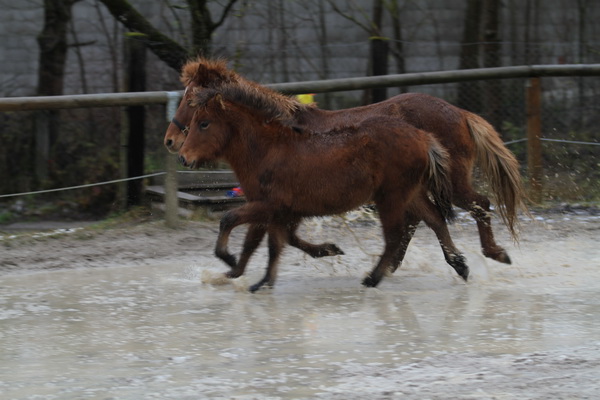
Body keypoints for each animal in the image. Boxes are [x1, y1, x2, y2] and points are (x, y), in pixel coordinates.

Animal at [166, 57, 528, 268]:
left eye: (190, 100)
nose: (172, 143)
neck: (279, 131)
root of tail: (461, 113)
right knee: (422, 220)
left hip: (450, 183)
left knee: (480, 204)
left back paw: (494, 253)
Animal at [178, 88, 468, 290]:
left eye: (204, 123)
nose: (183, 157)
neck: (268, 150)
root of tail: (423, 137)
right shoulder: (277, 211)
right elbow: (266, 244)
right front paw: (249, 277)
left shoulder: (269, 206)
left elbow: (232, 221)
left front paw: (229, 261)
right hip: (411, 194)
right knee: (435, 220)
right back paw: (460, 265)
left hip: (391, 198)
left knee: (396, 235)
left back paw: (372, 278)